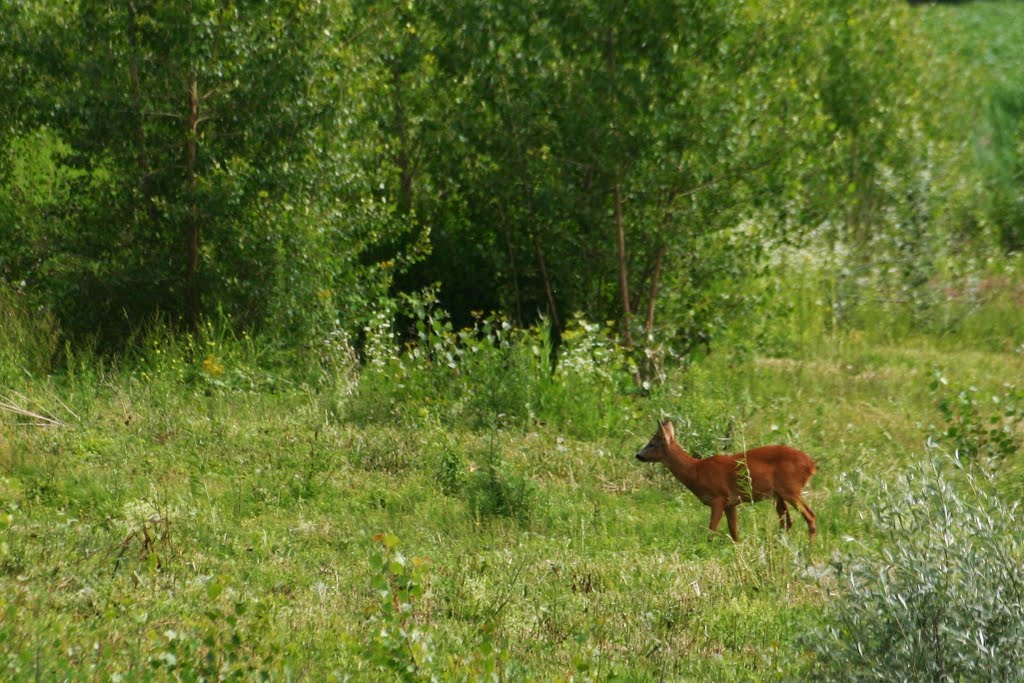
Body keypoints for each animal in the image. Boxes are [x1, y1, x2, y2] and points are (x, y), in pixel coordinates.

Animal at [630, 419, 815, 540]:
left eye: (652, 444)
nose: (638, 455)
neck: (695, 471)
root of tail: (811, 465)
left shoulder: (718, 498)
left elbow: (711, 530)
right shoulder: (731, 503)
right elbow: (734, 533)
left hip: (790, 489)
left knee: (810, 516)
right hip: (778, 495)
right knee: (787, 522)